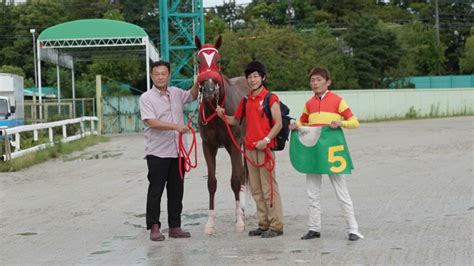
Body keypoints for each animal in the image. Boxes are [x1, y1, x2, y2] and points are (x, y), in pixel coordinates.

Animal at [194, 35, 250, 235]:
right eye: (198, 61)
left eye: (218, 61)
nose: (209, 90)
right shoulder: (208, 146)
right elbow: (211, 182)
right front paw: (210, 223)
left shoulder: (234, 144)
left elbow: (235, 180)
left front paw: (239, 222)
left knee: (244, 174)